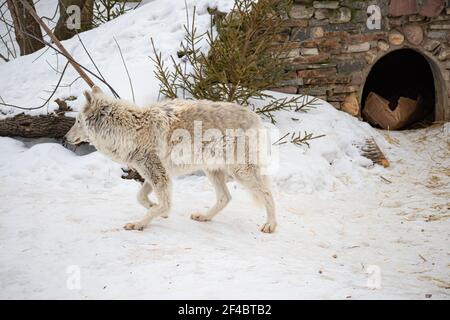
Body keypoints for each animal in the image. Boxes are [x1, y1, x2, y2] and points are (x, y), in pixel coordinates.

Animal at [64, 86, 276, 234]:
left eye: (77, 121)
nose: (65, 138)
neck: (131, 131)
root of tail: (256, 117)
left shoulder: (159, 176)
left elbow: (163, 204)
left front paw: (140, 223)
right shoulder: (155, 174)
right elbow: (141, 197)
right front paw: (156, 209)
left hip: (240, 172)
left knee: (267, 193)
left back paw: (270, 225)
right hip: (212, 171)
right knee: (225, 197)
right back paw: (204, 217)